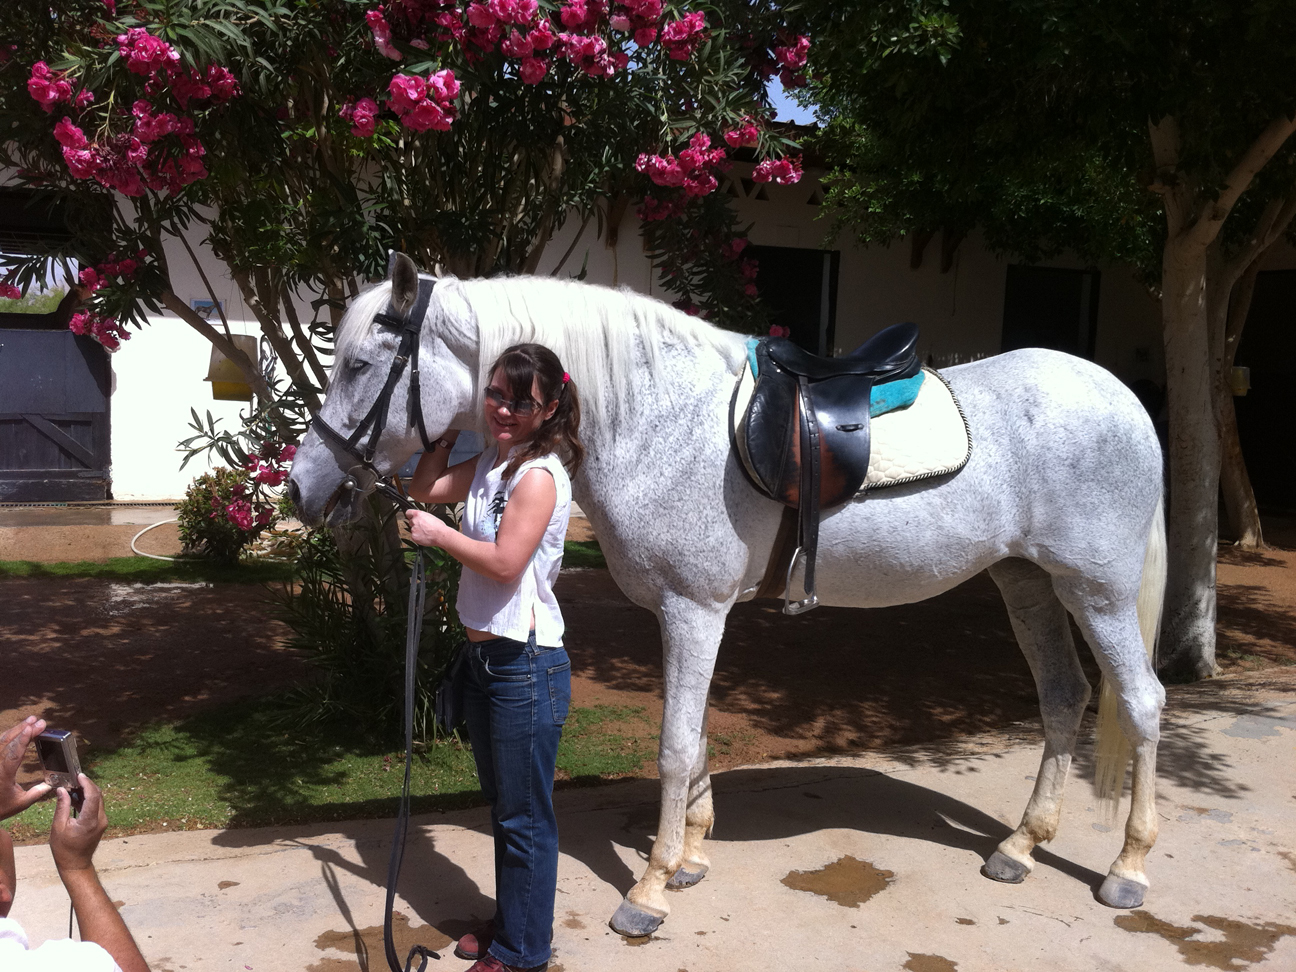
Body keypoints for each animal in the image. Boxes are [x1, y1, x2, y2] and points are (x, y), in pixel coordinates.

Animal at [289, 255, 1171, 938]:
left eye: (360, 367)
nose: (302, 489)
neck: (656, 418)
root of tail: (1122, 398)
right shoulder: (688, 613)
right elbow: (699, 733)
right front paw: (691, 857)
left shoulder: (694, 609)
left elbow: (676, 745)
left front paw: (649, 888)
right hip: (1028, 581)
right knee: (1064, 697)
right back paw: (1020, 847)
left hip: (1095, 588)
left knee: (1140, 700)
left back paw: (1128, 868)